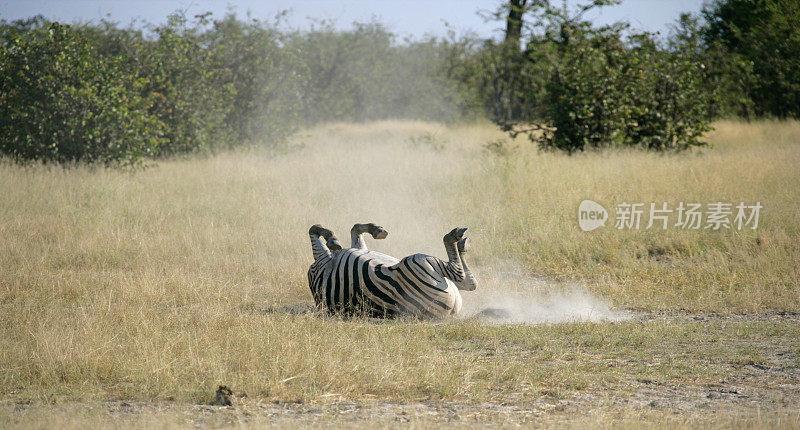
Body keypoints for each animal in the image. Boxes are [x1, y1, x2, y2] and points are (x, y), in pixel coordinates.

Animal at [306, 223, 476, 318]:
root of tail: (449, 312)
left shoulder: (353, 249)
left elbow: (355, 229)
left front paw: (376, 229)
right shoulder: (322, 259)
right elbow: (313, 229)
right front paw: (332, 238)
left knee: (469, 282)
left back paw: (462, 245)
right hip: (417, 261)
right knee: (461, 276)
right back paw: (455, 237)